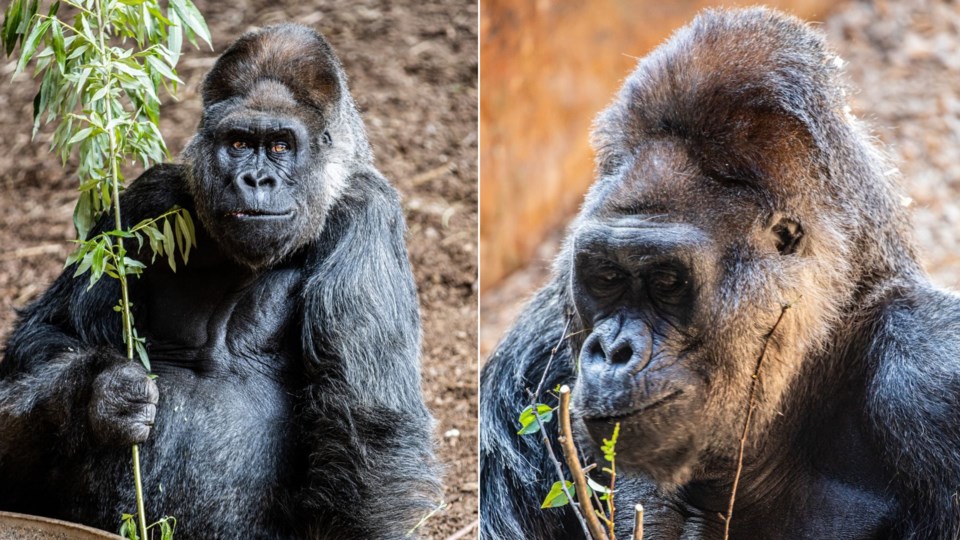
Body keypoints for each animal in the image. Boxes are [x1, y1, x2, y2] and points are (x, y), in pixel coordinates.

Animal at [0, 23, 438, 536]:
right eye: (239, 143)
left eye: (281, 145)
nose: (256, 180)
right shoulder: (144, 202)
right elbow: (49, 334)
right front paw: (104, 392)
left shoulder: (368, 212)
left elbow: (367, 433)